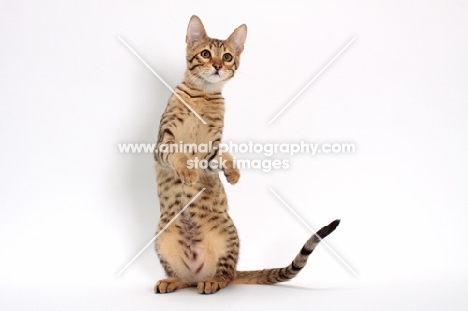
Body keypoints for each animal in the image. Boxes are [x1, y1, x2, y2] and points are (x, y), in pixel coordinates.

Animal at [154, 15, 340, 294]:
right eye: (206, 54)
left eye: (228, 57)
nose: (218, 65)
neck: (204, 96)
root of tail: (198, 273)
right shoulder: (162, 143)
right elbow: (178, 155)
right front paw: (187, 171)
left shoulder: (211, 148)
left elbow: (222, 156)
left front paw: (233, 173)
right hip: (162, 237)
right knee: (184, 278)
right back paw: (172, 280)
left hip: (226, 235)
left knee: (224, 274)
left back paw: (213, 281)